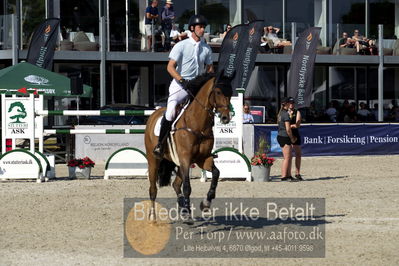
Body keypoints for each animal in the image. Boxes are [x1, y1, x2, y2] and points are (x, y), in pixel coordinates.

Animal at [145, 72, 234, 222]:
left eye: (231, 93)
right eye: (218, 92)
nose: (226, 118)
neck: (198, 124)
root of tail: (153, 115)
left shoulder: (203, 158)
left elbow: (216, 173)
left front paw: (206, 202)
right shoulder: (186, 158)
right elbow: (187, 186)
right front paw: (188, 212)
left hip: (179, 162)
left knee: (175, 184)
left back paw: (182, 206)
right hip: (154, 160)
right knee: (153, 190)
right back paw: (153, 218)